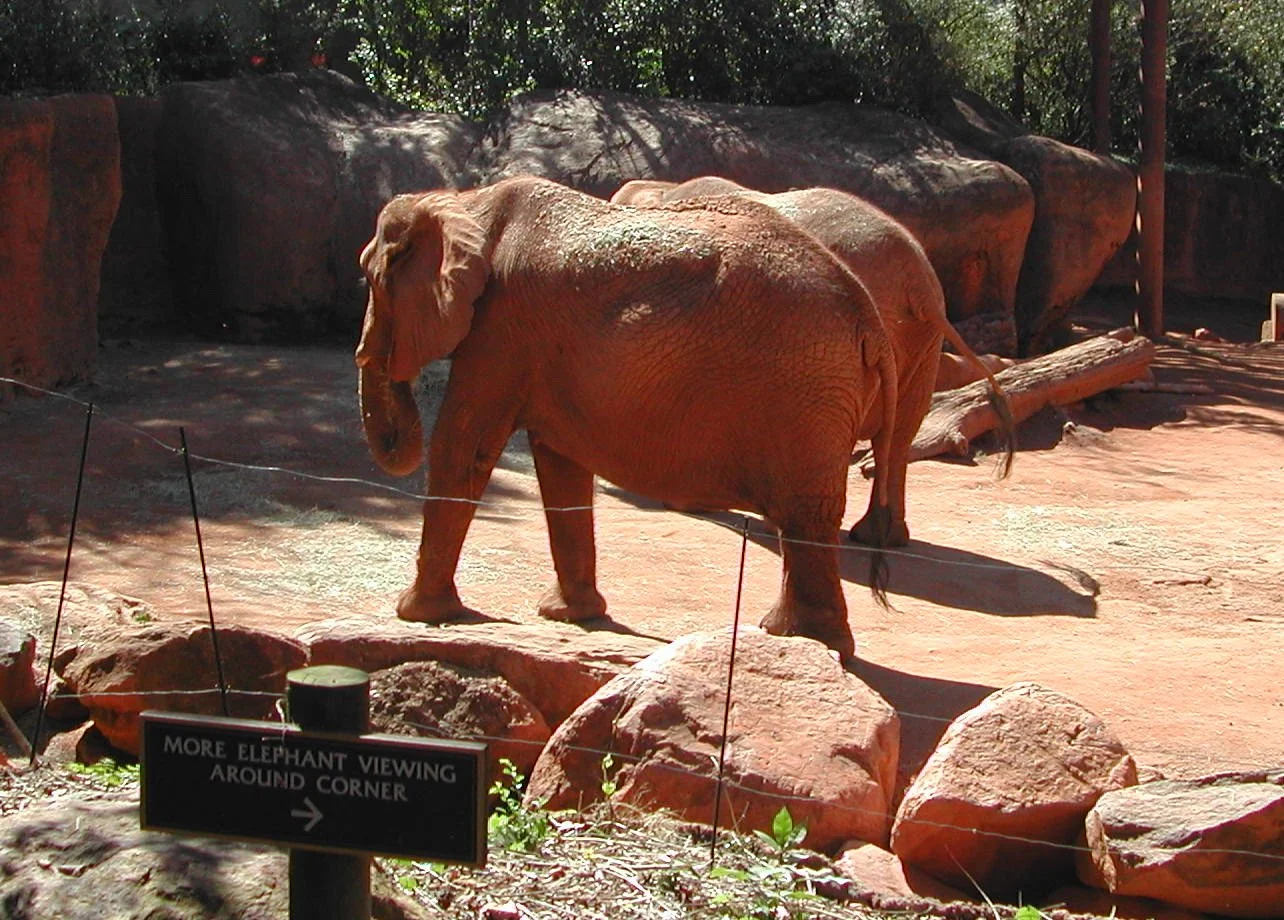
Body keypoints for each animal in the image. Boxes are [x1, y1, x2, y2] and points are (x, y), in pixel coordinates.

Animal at [356, 176, 902, 661]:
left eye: (369, 277)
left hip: (805, 386)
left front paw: (416, 614)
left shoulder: (501, 329)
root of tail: (869, 316)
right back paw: (792, 639)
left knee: (805, 513)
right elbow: (559, 464)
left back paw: (805, 644)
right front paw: (569, 615)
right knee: (806, 516)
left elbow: (463, 446)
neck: (466, 202)